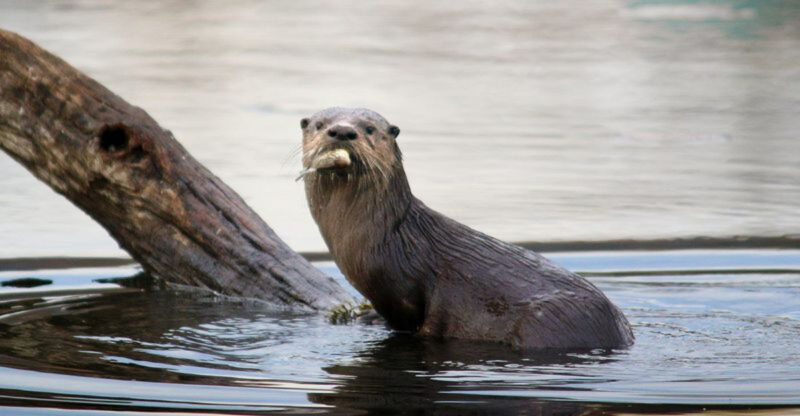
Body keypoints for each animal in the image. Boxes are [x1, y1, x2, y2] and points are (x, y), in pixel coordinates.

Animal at [299, 107, 634, 350]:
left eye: (370, 129)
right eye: (320, 124)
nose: (342, 131)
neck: (390, 239)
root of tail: (622, 333)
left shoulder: (407, 290)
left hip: (548, 321)